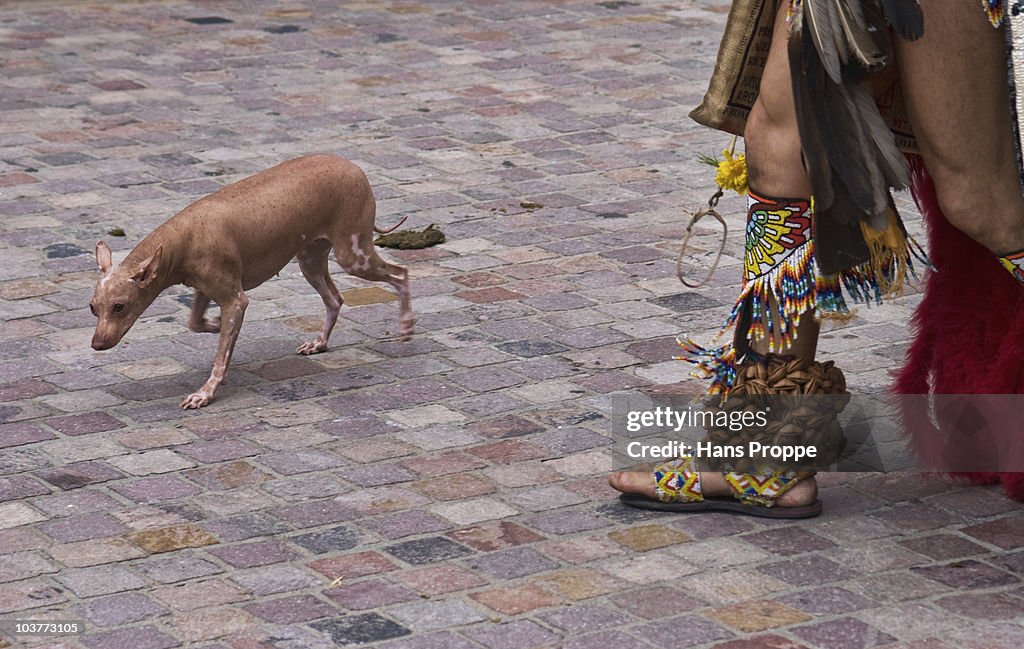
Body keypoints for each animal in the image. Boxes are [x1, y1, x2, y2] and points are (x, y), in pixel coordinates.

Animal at [90, 154, 413, 407]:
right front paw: (216, 325)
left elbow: (221, 356)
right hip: (310, 261)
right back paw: (320, 343)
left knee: (401, 274)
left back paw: (406, 327)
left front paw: (206, 392)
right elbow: (195, 323)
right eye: (93, 308)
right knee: (335, 300)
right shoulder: (206, 290)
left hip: (354, 256)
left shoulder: (235, 299)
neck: (185, 236)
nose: (96, 344)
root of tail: (353, 165)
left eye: (119, 307)